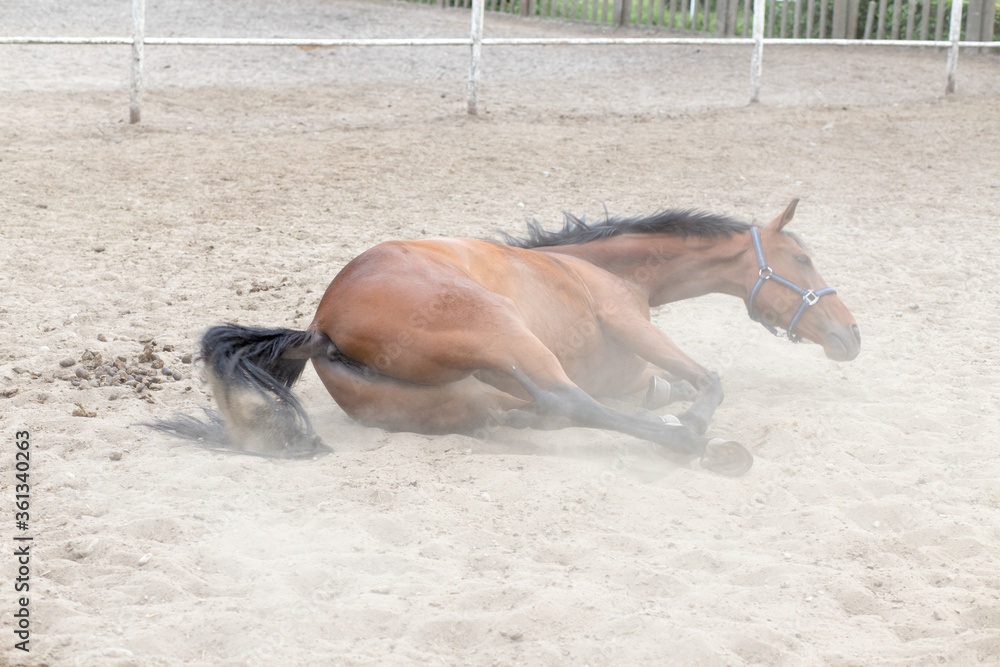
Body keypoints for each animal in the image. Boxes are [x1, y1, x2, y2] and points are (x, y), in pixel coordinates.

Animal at [156, 199, 859, 477]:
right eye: (801, 259)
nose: (851, 335)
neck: (599, 267)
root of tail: (321, 327)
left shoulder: (636, 376)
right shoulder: (630, 322)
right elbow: (709, 379)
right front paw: (693, 420)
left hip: (464, 395)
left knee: (529, 413)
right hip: (503, 330)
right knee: (562, 401)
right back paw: (698, 445)